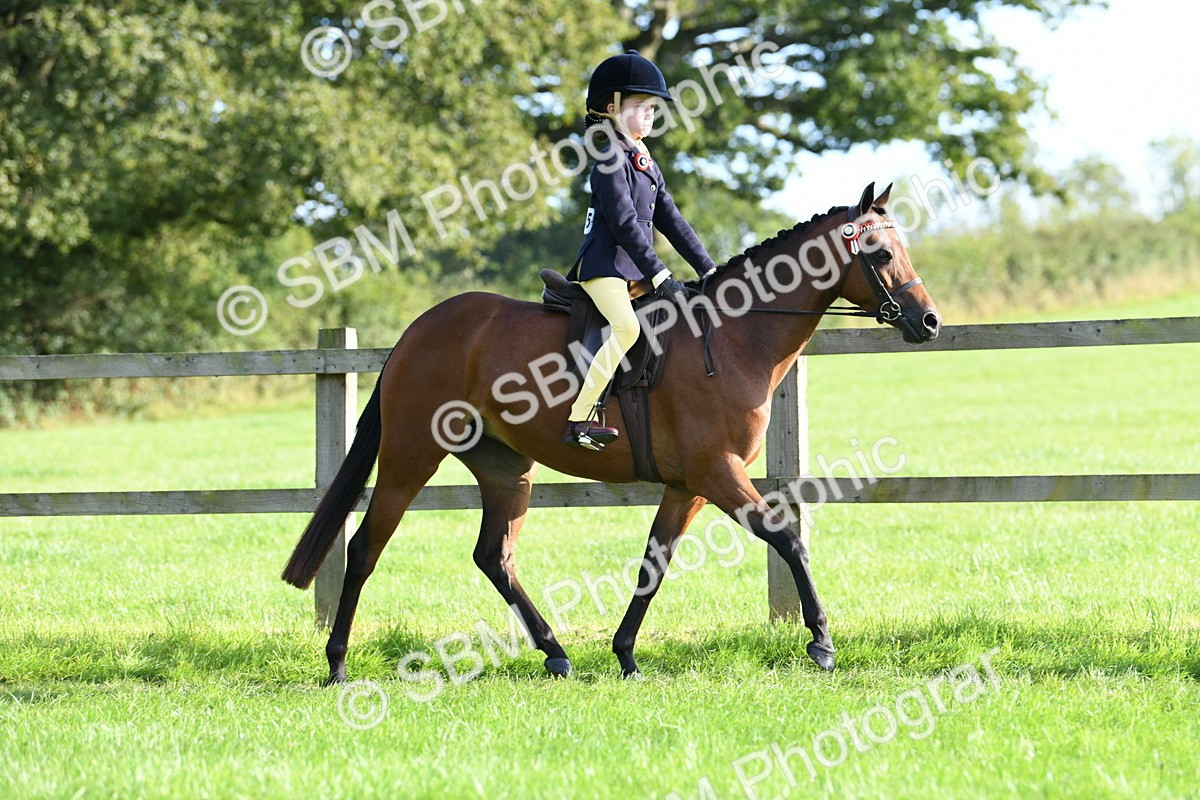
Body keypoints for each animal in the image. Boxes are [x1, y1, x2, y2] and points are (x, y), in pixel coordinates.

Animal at [281, 182, 941, 684]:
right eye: (881, 253)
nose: (929, 322)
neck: (733, 336)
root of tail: (417, 331)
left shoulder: (688, 486)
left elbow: (655, 562)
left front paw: (625, 654)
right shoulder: (718, 473)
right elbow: (787, 539)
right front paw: (822, 642)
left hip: (505, 469)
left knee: (494, 556)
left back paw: (555, 653)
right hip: (410, 457)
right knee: (365, 548)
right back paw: (337, 665)